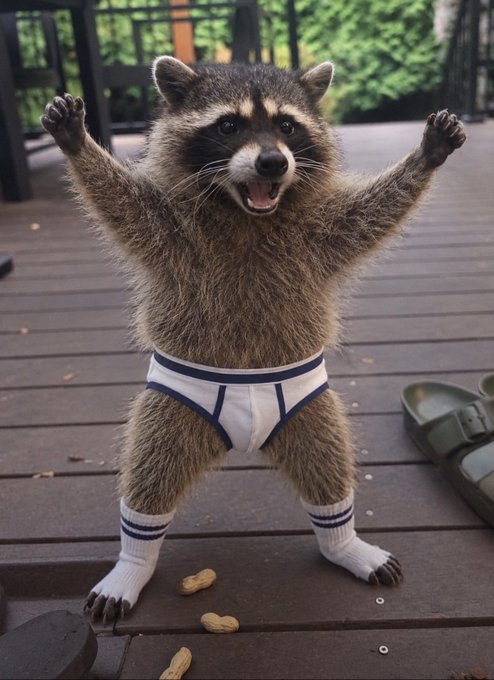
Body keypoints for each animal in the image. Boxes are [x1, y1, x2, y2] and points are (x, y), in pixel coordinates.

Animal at [42, 57, 465, 623]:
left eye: (287, 125)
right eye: (228, 126)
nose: (272, 163)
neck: (246, 211)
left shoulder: (319, 235)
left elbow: (371, 215)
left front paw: (425, 157)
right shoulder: (171, 232)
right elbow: (123, 203)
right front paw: (79, 146)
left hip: (309, 409)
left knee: (327, 463)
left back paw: (342, 539)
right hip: (172, 410)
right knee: (151, 475)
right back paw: (135, 559)